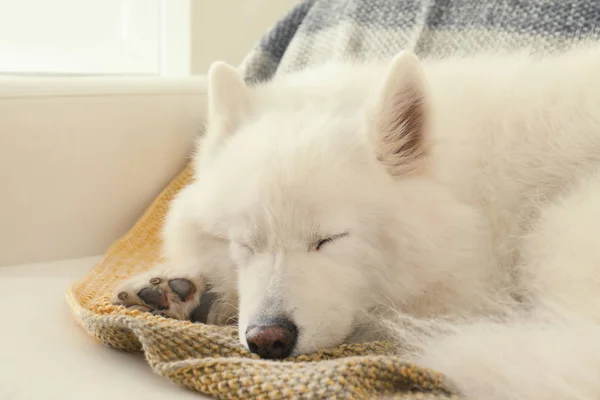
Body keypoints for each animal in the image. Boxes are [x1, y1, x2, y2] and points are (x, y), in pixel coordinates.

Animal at [115, 43, 600, 396]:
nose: (267, 340)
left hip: (553, 230)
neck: (474, 196)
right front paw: (178, 286)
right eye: (246, 243)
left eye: (329, 239)